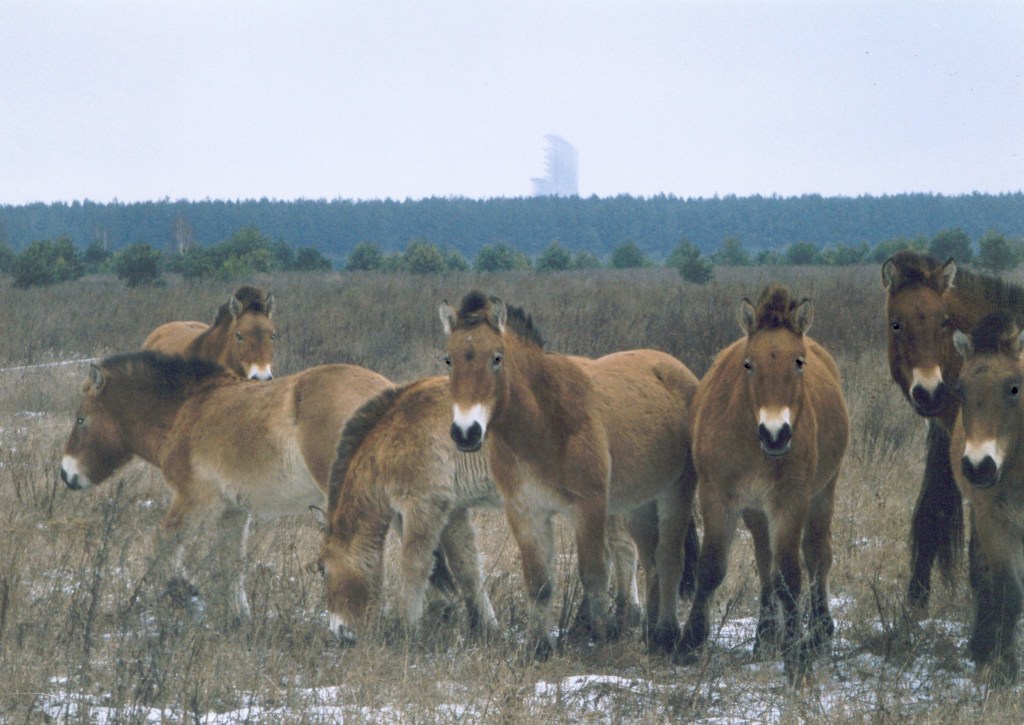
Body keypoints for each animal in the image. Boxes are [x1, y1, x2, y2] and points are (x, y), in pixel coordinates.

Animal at [59, 351, 392, 623]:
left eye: (81, 419)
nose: (66, 474)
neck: (186, 410)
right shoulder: (234, 512)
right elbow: (232, 561)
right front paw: (239, 617)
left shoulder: (194, 499)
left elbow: (163, 542)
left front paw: (183, 593)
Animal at [316, 375, 648, 645]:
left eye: (323, 569)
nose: (340, 633)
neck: (391, 434)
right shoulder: (453, 512)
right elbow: (466, 568)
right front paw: (486, 629)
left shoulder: (424, 506)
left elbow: (414, 566)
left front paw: (411, 631)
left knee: (623, 550)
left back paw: (622, 619)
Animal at [440, 291, 700, 659]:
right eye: (448, 360)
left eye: (497, 358)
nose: (466, 432)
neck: (544, 423)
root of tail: (679, 372)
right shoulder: (525, 512)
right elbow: (539, 581)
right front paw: (539, 646)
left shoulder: (588, 507)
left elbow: (594, 575)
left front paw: (601, 638)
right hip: (639, 505)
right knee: (650, 561)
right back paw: (650, 633)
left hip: (676, 493)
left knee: (669, 559)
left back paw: (666, 633)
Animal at [676, 285, 848, 682]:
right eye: (748, 363)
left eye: (799, 361)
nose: (776, 434)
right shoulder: (718, 496)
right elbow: (711, 568)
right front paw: (690, 642)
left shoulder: (791, 500)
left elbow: (789, 575)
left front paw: (795, 654)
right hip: (756, 511)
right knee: (764, 555)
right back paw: (765, 634)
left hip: (822, 493)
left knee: (817, 556)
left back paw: (818, 633)